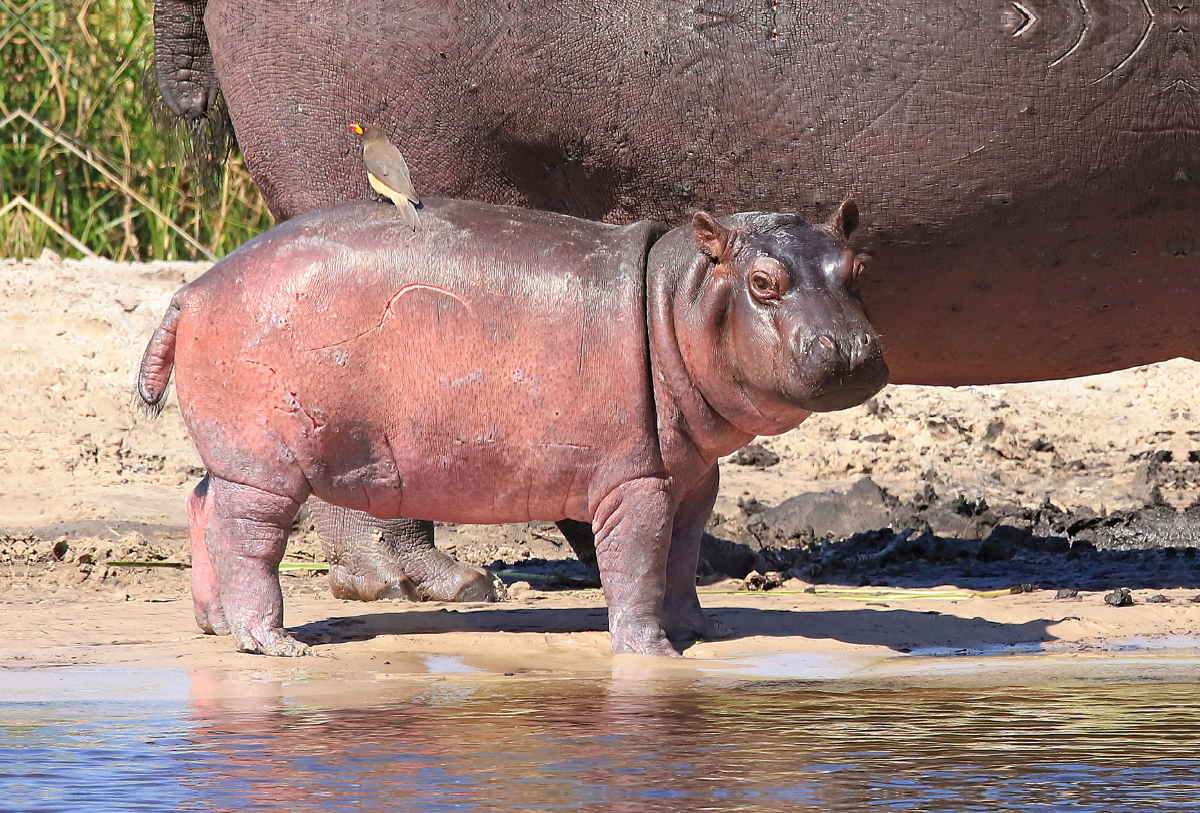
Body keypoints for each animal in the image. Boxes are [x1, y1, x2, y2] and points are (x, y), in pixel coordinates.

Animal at [138, 200, 892, 657]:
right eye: (763, 281)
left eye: (857, 269)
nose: (853, 348)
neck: (676, 297)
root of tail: (193, 289)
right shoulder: (636, 480)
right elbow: (638, 563)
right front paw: (651, 653)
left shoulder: (691, 477)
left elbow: (680, 559)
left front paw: (700, 632)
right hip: (266, 466)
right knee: (246, 539)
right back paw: (274, 642)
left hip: (237, 455)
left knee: (201, 503)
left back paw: (214, 624)